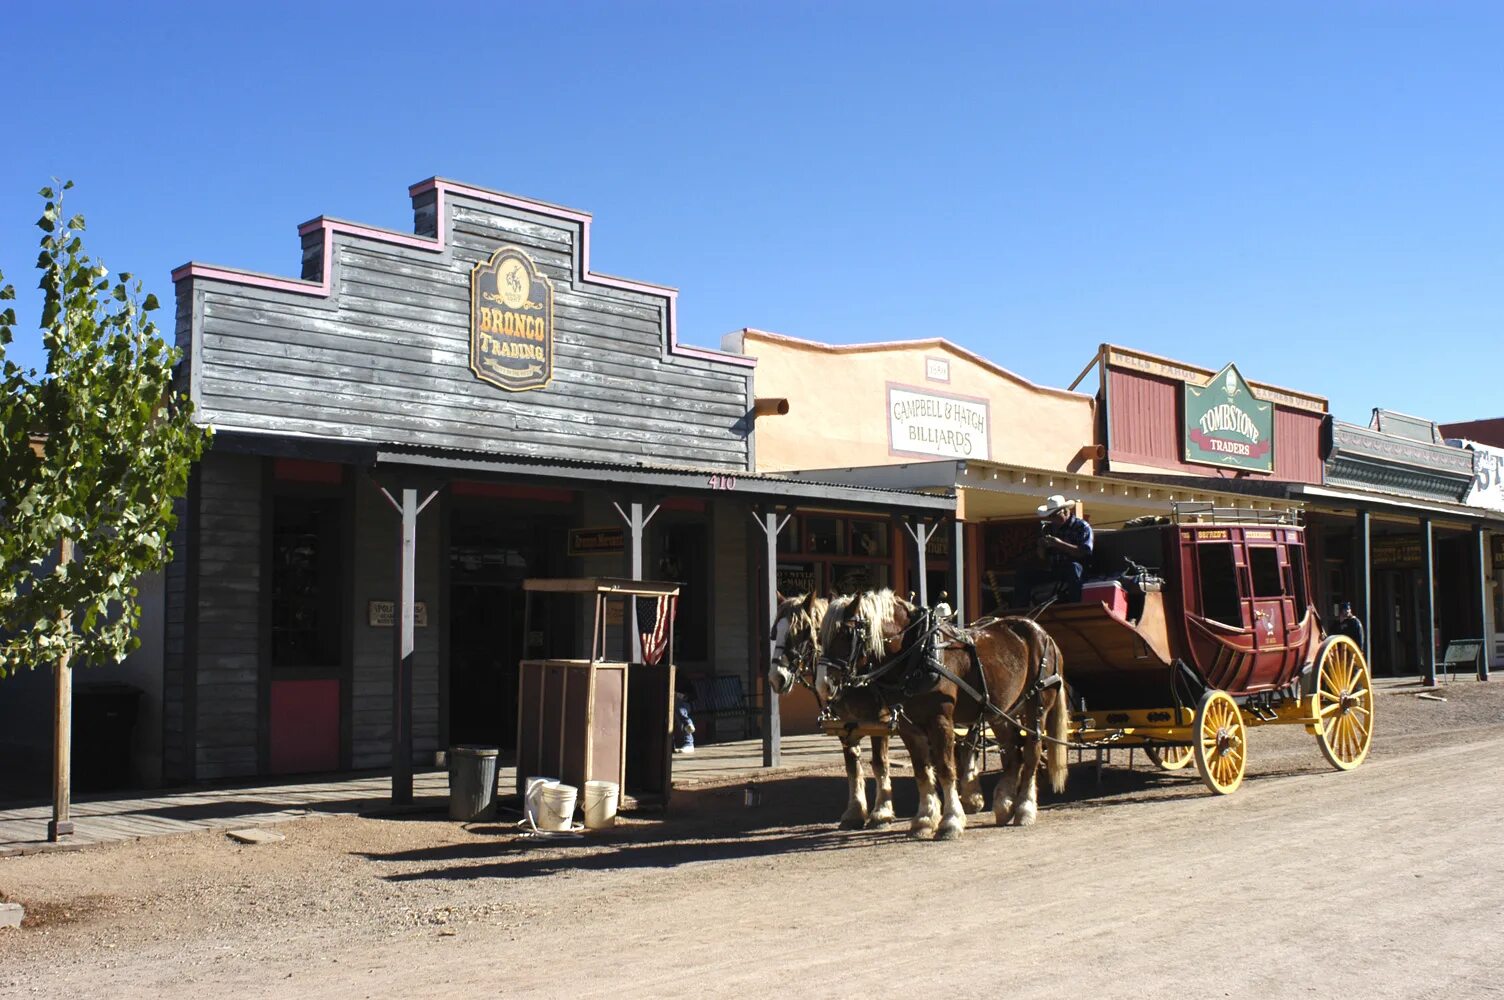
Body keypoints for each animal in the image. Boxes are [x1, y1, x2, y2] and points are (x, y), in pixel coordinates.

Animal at [770, 592, 896, 824]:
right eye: (775, 632)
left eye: (802, 631)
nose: (776, 678)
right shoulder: (845, 725)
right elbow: (852, 766)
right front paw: (855, 810)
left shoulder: (880, 722)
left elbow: (879, 762)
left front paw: (882, 811)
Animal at [824, 589, 1070, 836]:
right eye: (822, 636)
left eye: (846, 632)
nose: (826, 684)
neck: (920, 654)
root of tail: (1044, 634)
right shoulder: (908, 727)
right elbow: (922, 771)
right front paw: (924, 819)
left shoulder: (940, 721)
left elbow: (945, 768)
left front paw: (951, 820)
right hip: (1000, 712)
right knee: (1012, 752)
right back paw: (1004, 806)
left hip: (1036, 706)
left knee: (1031, 753)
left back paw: (1024, 809)